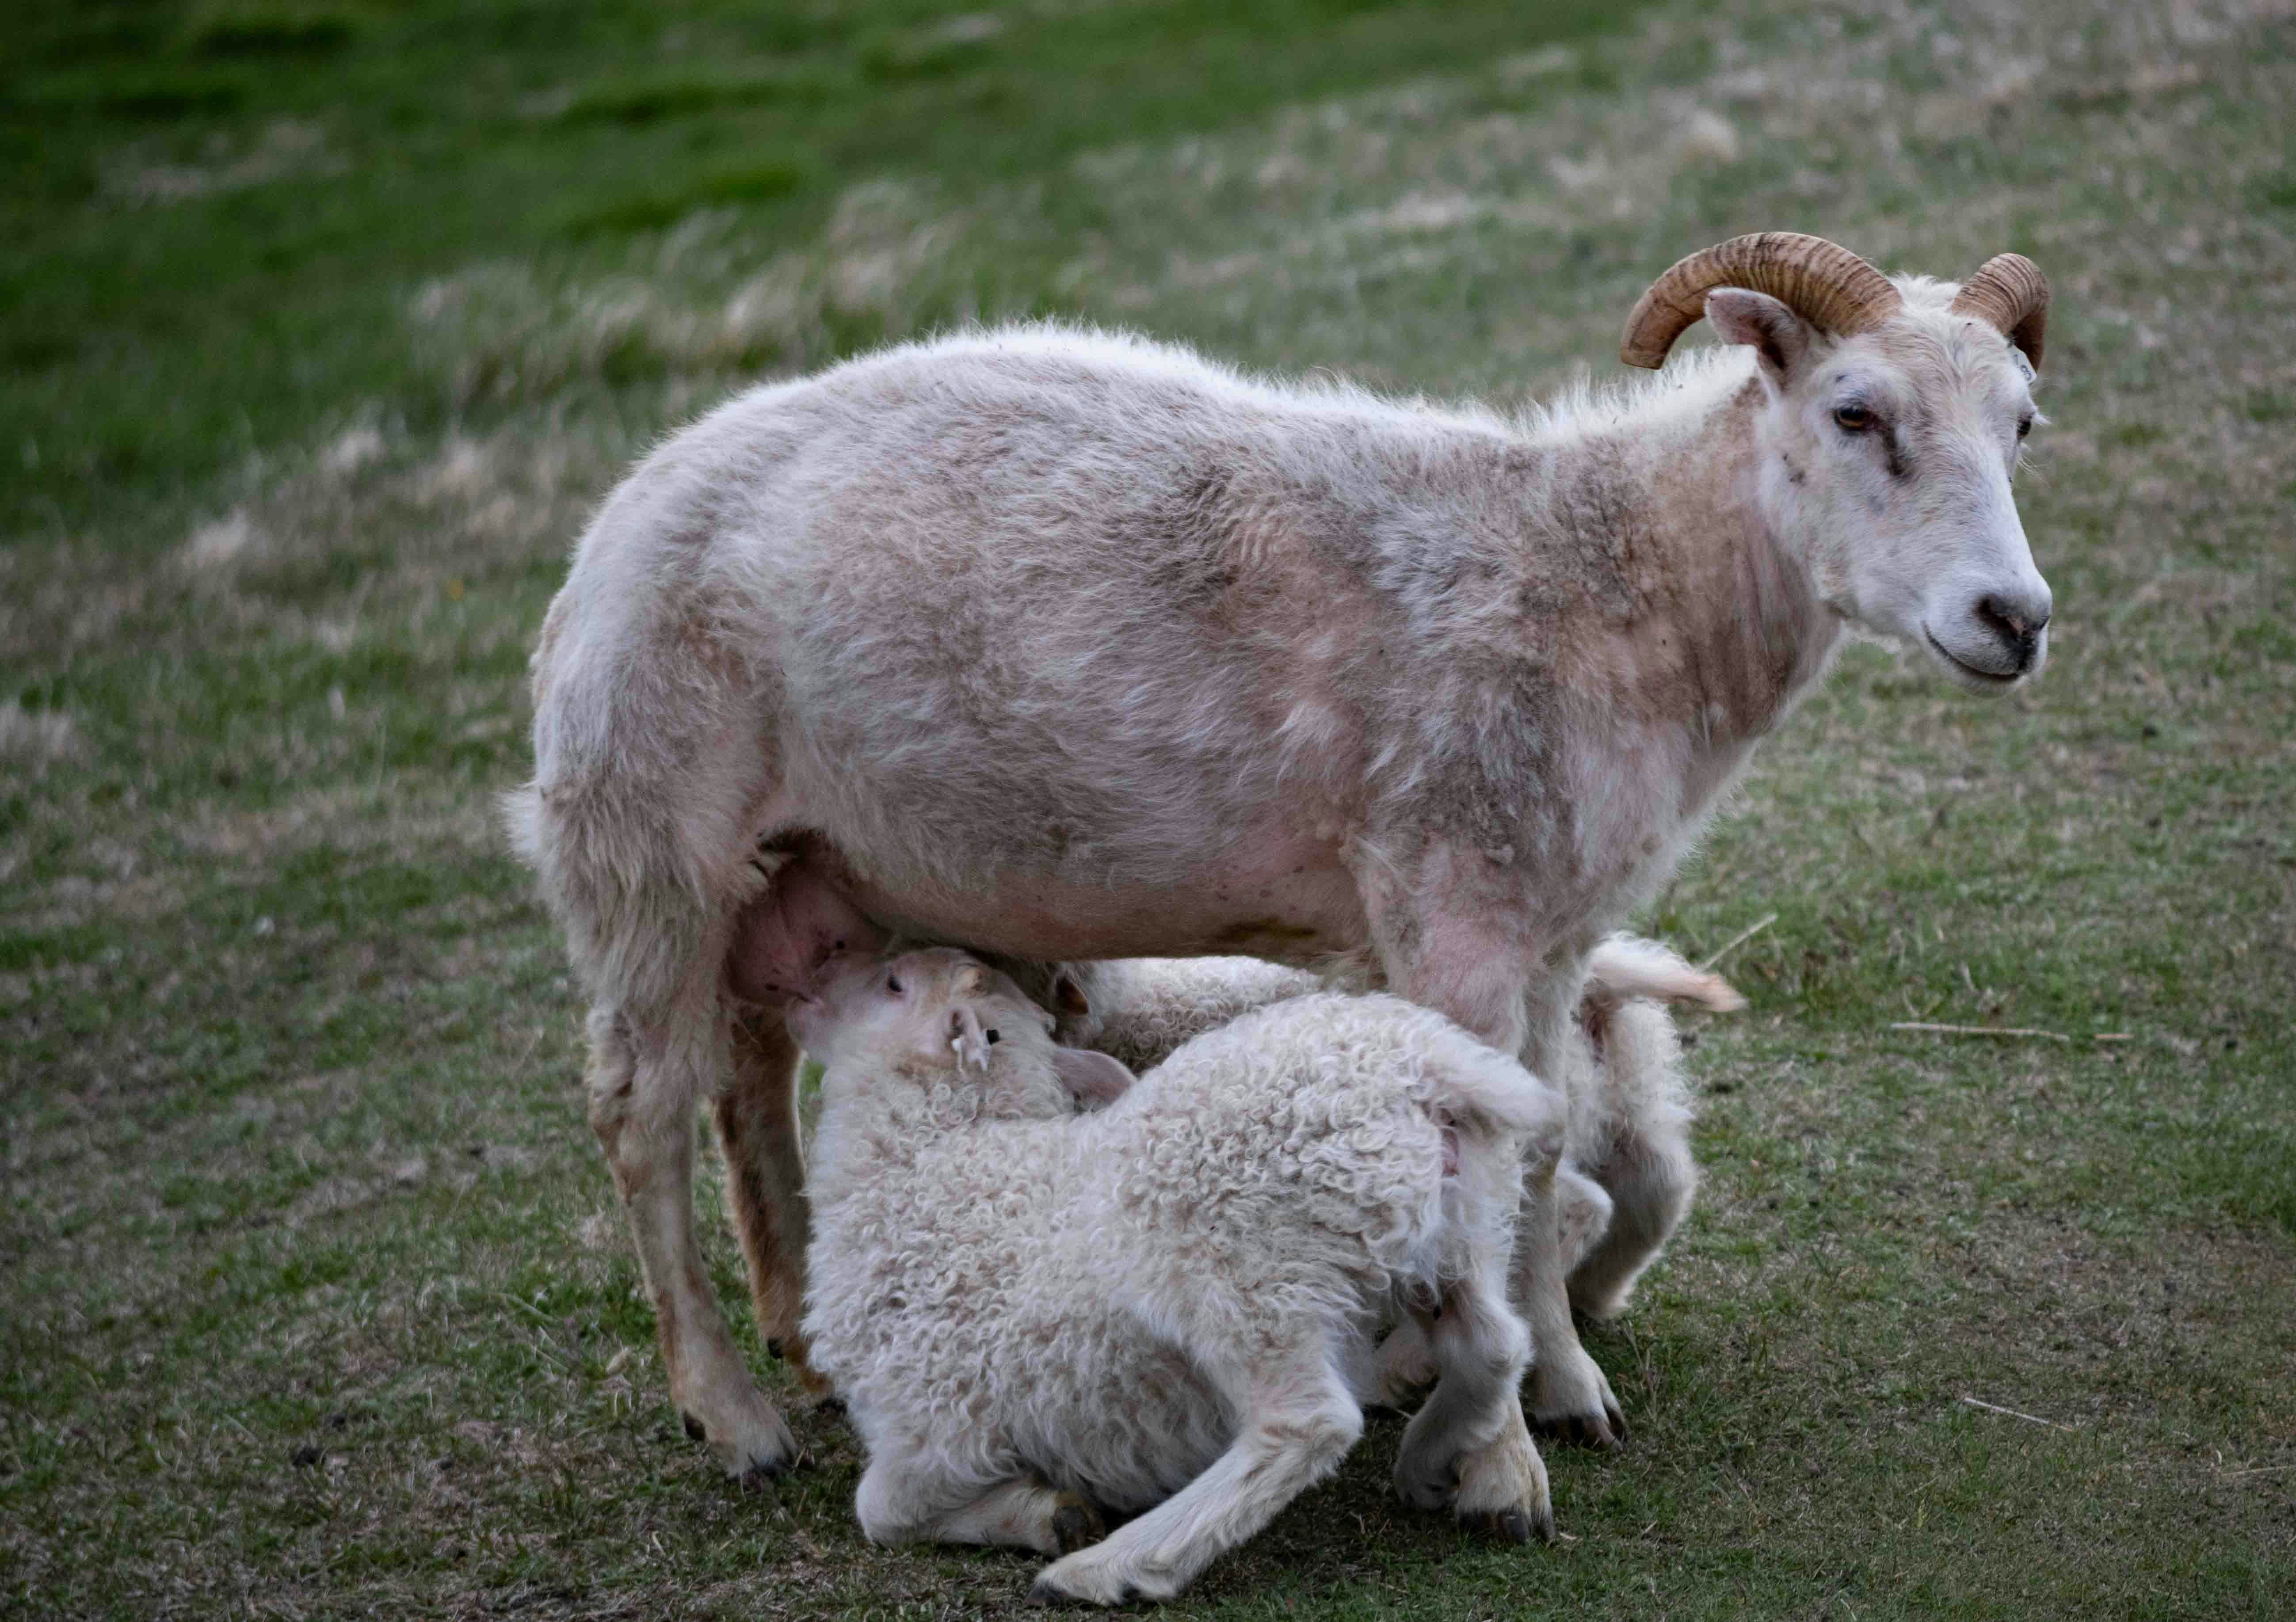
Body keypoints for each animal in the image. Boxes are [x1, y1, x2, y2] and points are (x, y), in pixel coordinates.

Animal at [510, 233, 2053, 1474]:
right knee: (639, 1111)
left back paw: (797, 1332)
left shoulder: (1553, 929)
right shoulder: (1454, 907)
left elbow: (1550, 1144)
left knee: (748, 1075)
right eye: (1856, 413)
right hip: (647, 841)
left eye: (2024, 425)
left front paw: (1563, 1380)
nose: (2016, 617)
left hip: (785, 865)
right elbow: (1490, 1164)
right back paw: (728, 1410)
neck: (1613, 587)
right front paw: (1495, 1441)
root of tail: (615, 519)